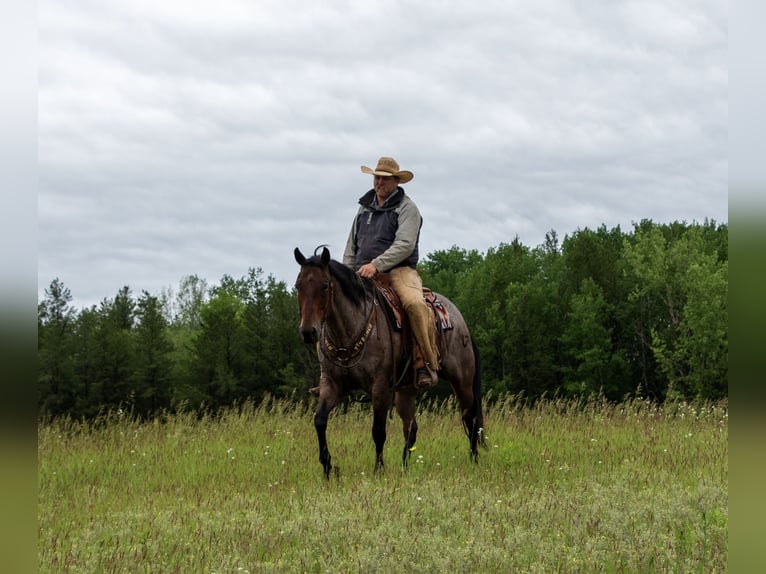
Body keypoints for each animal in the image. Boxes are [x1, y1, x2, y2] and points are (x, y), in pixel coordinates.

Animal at [294, 245, 486, 480]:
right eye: (298, 286)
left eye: (324, 285)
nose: (308, 332)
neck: (349, 331)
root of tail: (460, 320)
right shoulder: (332, 385)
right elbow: (320, 420)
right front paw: (329, 468)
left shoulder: (380, 387)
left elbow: (378, 430)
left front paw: (378, 469)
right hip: (406, 391)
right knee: (411, 428)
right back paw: (404, 467)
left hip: (462, 381)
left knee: (471, 419)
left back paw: (474, 462)